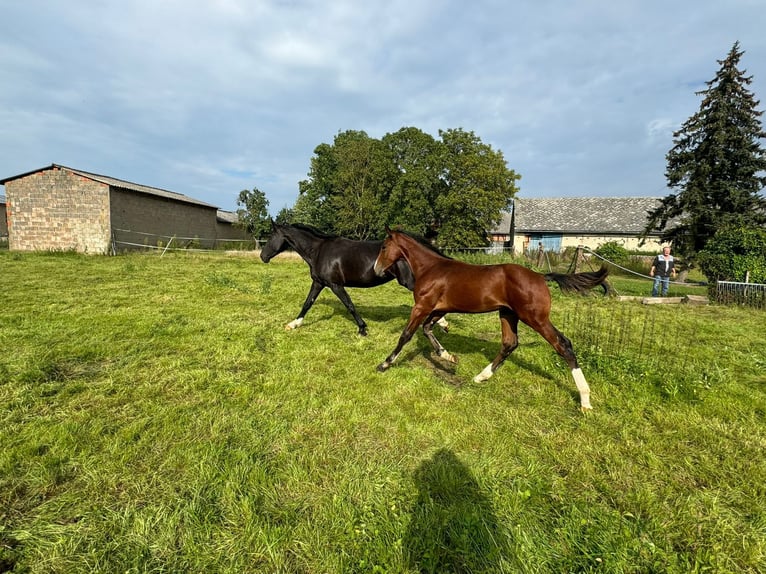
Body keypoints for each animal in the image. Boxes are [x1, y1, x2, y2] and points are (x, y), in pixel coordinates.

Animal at [260, 222, 448, 338]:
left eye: (270, 237)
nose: (262, 256)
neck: (318, 251)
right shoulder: (319, 282)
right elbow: (308, 303)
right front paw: (293, 324)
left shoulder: (335, 285)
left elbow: (349, 305)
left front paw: (362, 329)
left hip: (409, 281)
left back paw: (443, 323)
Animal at [374, 227, 612, 412]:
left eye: (384, 247)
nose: (376, 269)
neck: (431, 268)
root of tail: (541, 276)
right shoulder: (439, 309)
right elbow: (427, 329)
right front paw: (449, 357)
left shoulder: (422, 306)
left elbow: (406, 335)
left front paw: (385, 363)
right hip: (508, 314)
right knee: (509, 343)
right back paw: (481, 377)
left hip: (535, 318)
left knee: (563, 344)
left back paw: (585, 400)